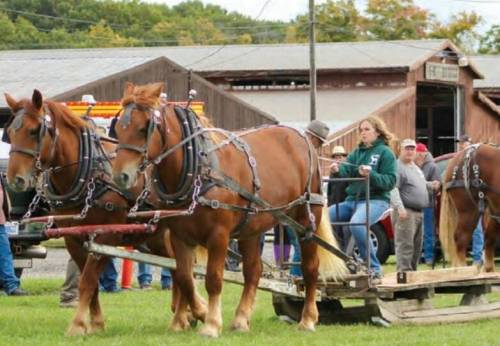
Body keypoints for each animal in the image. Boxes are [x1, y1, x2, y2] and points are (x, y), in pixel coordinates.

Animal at [2, 90, 188, 336]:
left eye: (34, 131)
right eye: (11, 133)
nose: (15, 179)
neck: (87, 173)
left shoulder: (106, 235)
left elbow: (88, 280)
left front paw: (78, 324)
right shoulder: (72, 237)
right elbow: (88, 281)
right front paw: (96, 323)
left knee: (182, 266)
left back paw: (185, 314)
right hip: (155, 235)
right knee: (175, 266)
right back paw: (186, 311)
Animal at [111, 82, 346, 338]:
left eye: (144, 128)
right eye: (118, 129)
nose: (121, 176)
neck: (199, 168)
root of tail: (303, 138)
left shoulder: (219, 235)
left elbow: (213, 279)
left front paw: (211, 323)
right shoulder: (179, 236)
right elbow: (184, 277)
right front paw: (184, 320)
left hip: (306, 218)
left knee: (310, 268)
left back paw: (308, 319)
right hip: (252, 227)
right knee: (253, 270)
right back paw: (241, 320)